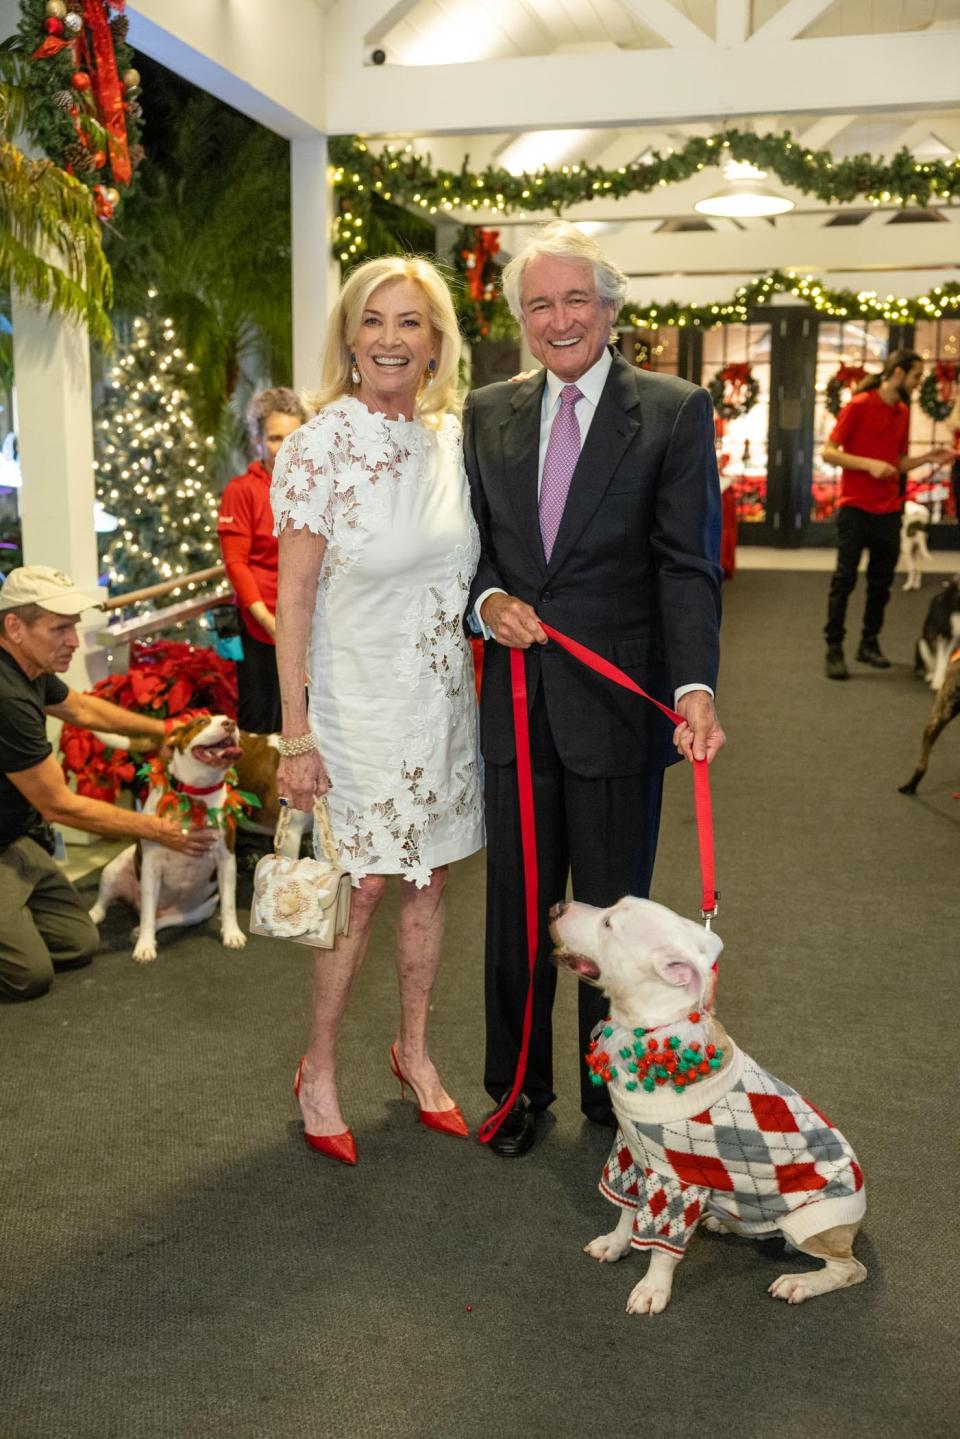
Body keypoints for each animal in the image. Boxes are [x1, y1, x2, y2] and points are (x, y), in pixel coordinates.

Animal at [89, 713, 250, 961]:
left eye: (228, 719)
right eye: (202, 722)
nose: (230, 724)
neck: (197, 792)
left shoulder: (226, 859)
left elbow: (229, 904)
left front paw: (232, 933)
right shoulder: (151, 866)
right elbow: (147, 914)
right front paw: (145, 947)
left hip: (198, 911)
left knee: (163, 920)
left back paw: (140, 930)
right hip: (115, 869)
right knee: (110, 903)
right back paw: (94, 915)